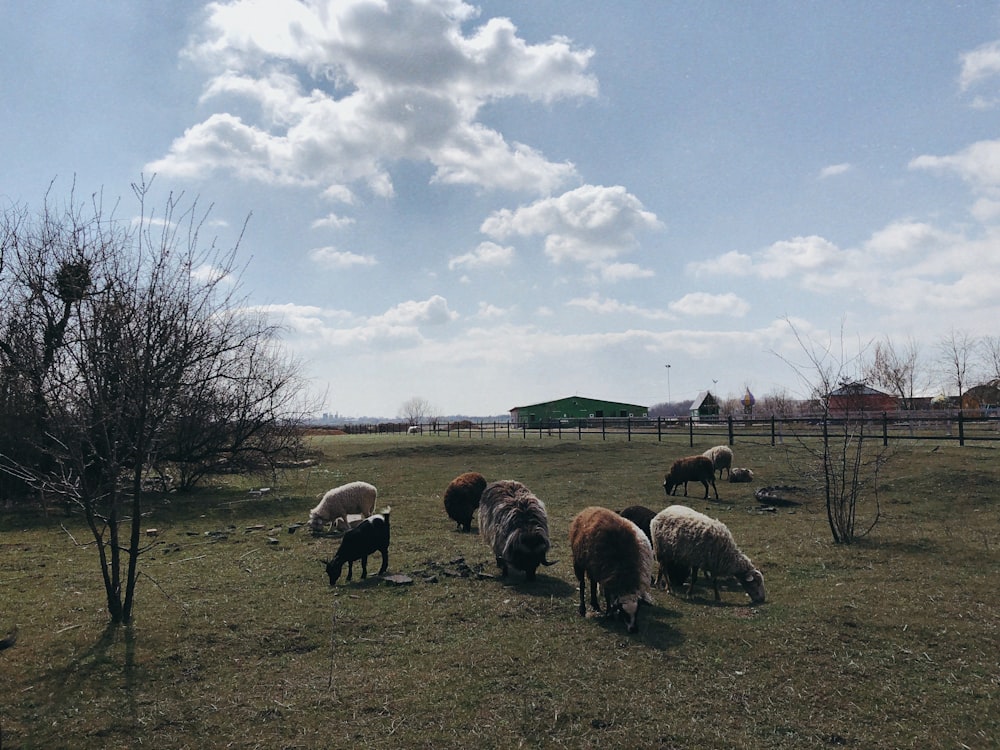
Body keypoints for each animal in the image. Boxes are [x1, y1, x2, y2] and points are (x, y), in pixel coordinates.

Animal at [572, 506, 656, 636]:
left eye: (637, 611)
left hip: (594, 567)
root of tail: (590, 509)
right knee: (582, 584)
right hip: (579, 562)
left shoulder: (606, 573)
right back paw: (582, 609)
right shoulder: (608, 575)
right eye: (624, 612)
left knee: (593, 583)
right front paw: (609, 614)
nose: (634, 630)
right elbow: (607, 595)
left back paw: (595, 605)